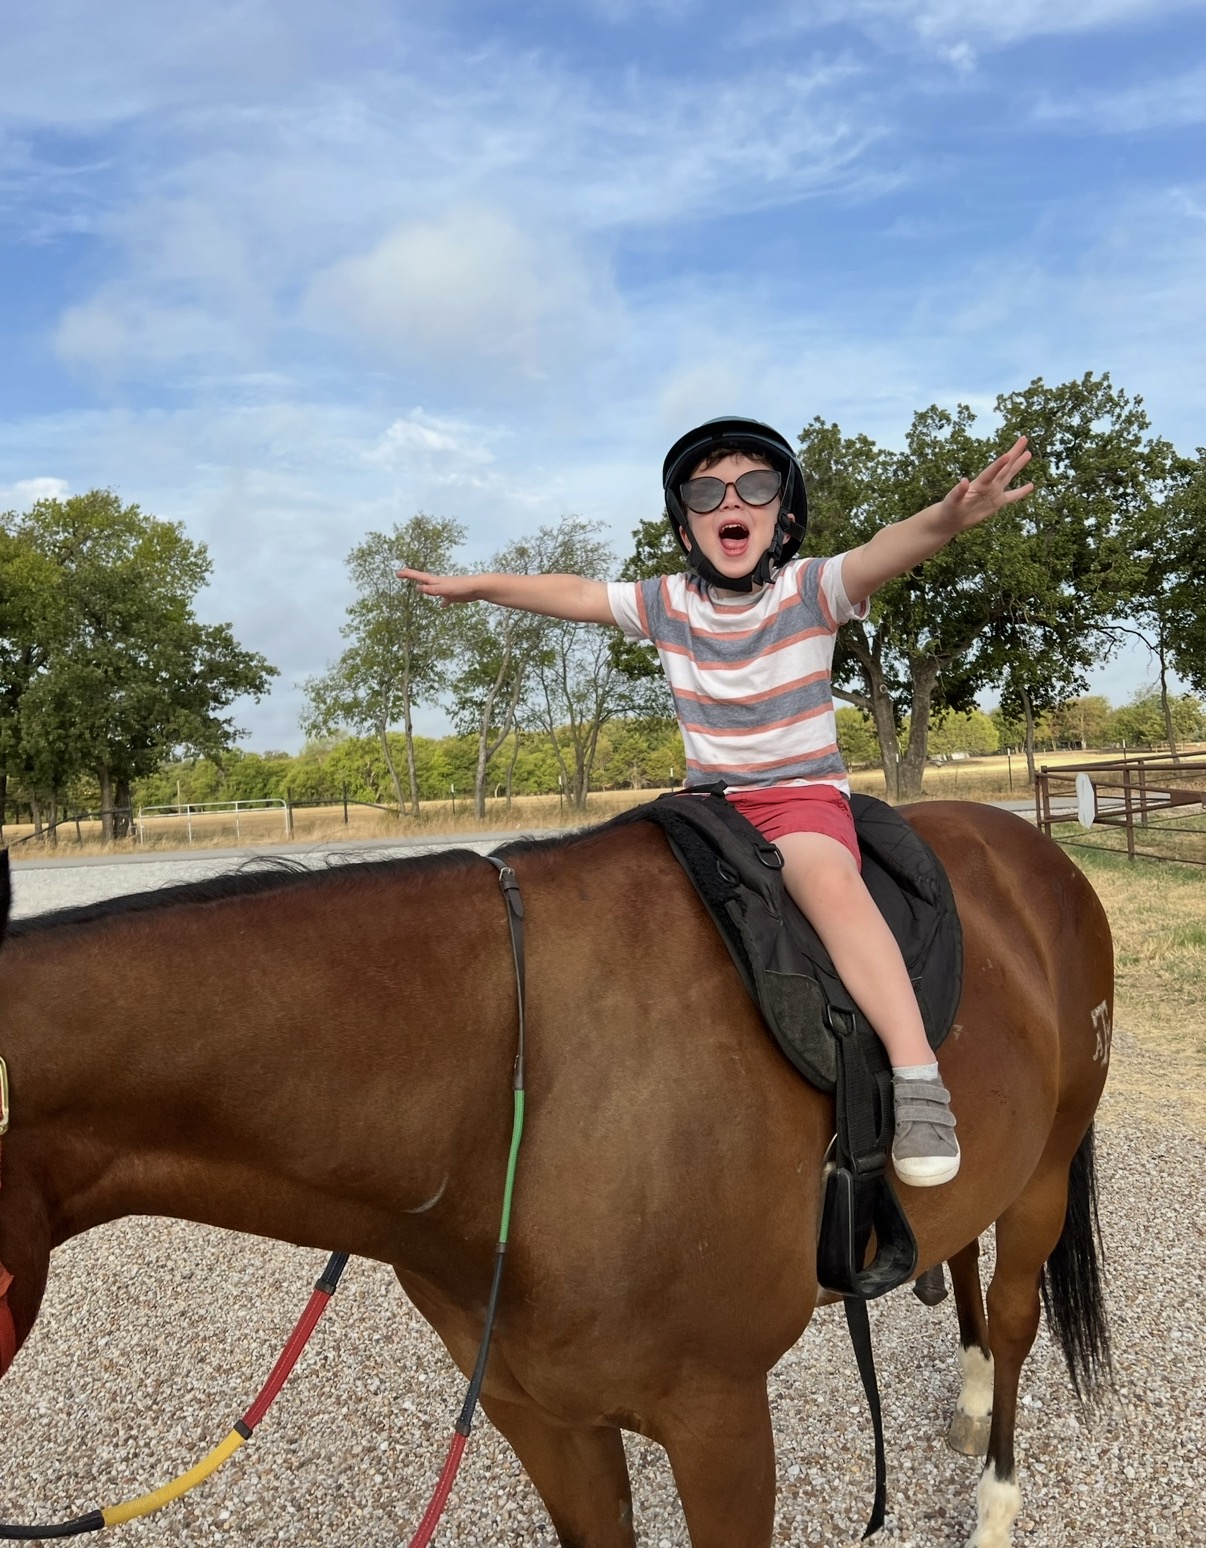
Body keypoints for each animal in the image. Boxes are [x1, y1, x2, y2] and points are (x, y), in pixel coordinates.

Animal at [0, 799, 1112, 1548]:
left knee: (1017, 1314)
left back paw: (997, 1497)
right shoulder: (539, 1416)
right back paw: (969, 1397)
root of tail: (1031, 849)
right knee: (961, 1255)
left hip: (1049, 1167)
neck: (509, 1112)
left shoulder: (720, 1423)